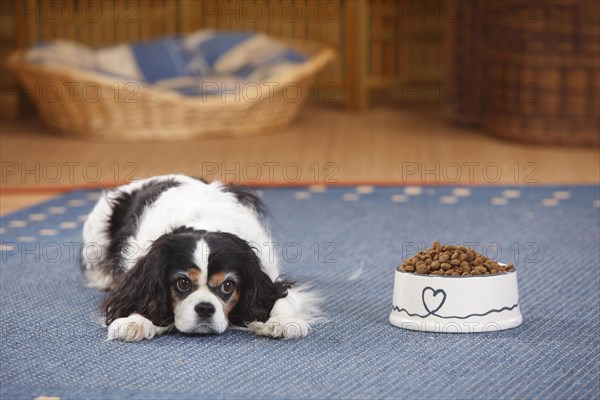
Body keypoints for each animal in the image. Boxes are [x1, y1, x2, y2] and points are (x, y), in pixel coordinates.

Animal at [83, 175, 324, 340]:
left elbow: (282, 298)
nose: (206, 309)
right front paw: (135, 321)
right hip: (95, 233)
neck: (204, 222)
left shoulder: (269, 275)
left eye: (228, 286)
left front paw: (282, 321)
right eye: (182, 283)